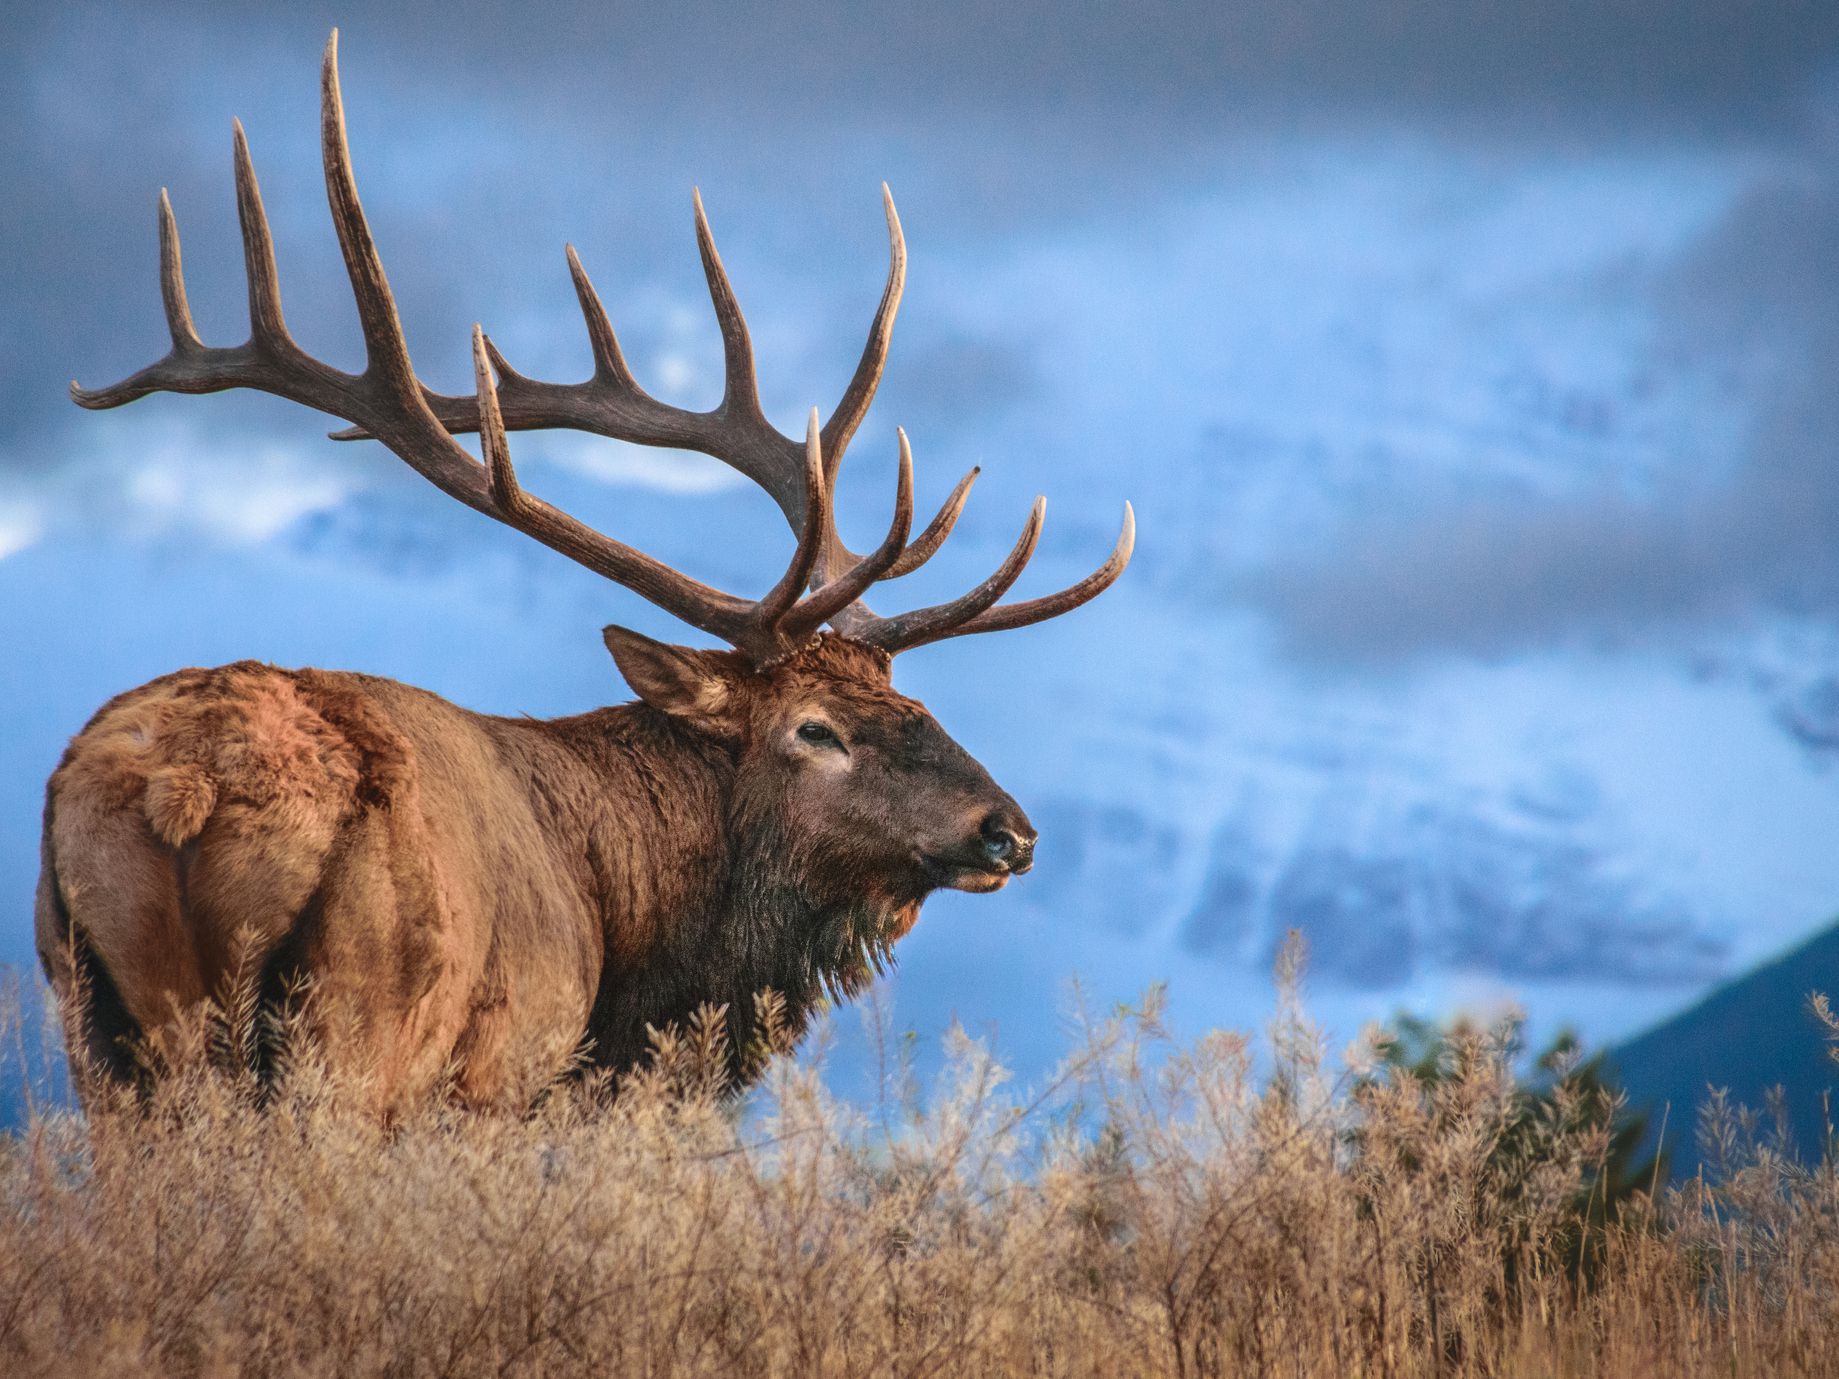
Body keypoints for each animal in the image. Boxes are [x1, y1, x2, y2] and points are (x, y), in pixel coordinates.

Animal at [36, 34, 1133, 1113]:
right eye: (814, 729)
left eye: (915, 706)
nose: (1007, 831)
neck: (631, 951)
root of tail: (185, 787)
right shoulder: (501, 1071)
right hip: (357, 1026)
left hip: (94, 1023)